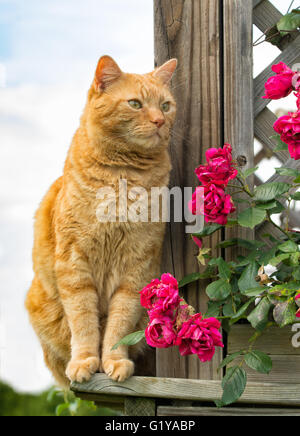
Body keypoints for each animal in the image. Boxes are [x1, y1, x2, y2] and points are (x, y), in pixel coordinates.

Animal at [25, 56, 177, 386]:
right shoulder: (74, 265)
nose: (160, 121)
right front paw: (85, 361)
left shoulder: (136, 268)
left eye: (166, 105)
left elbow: (119, 325)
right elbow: (83, 321)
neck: (124, 176)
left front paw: (114, 361)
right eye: (135, 103)